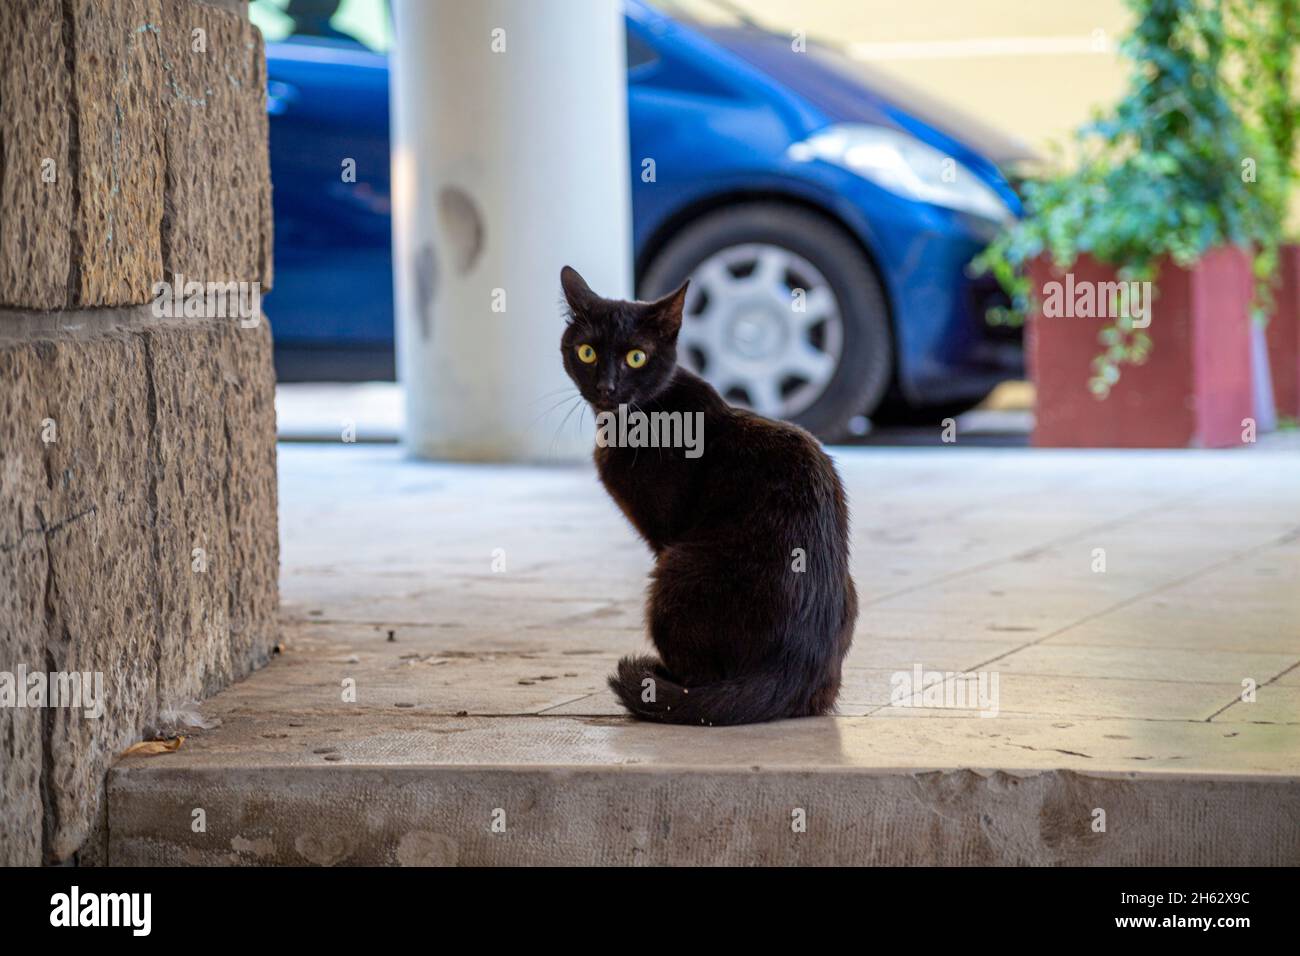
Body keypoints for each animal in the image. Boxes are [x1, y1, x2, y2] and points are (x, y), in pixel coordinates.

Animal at [564, 264, 857, 723]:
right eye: (587, 352)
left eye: (636, 357)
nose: (607, 388)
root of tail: (790, 667)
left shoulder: (664, 534)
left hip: (675, 569)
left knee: (701, 679)